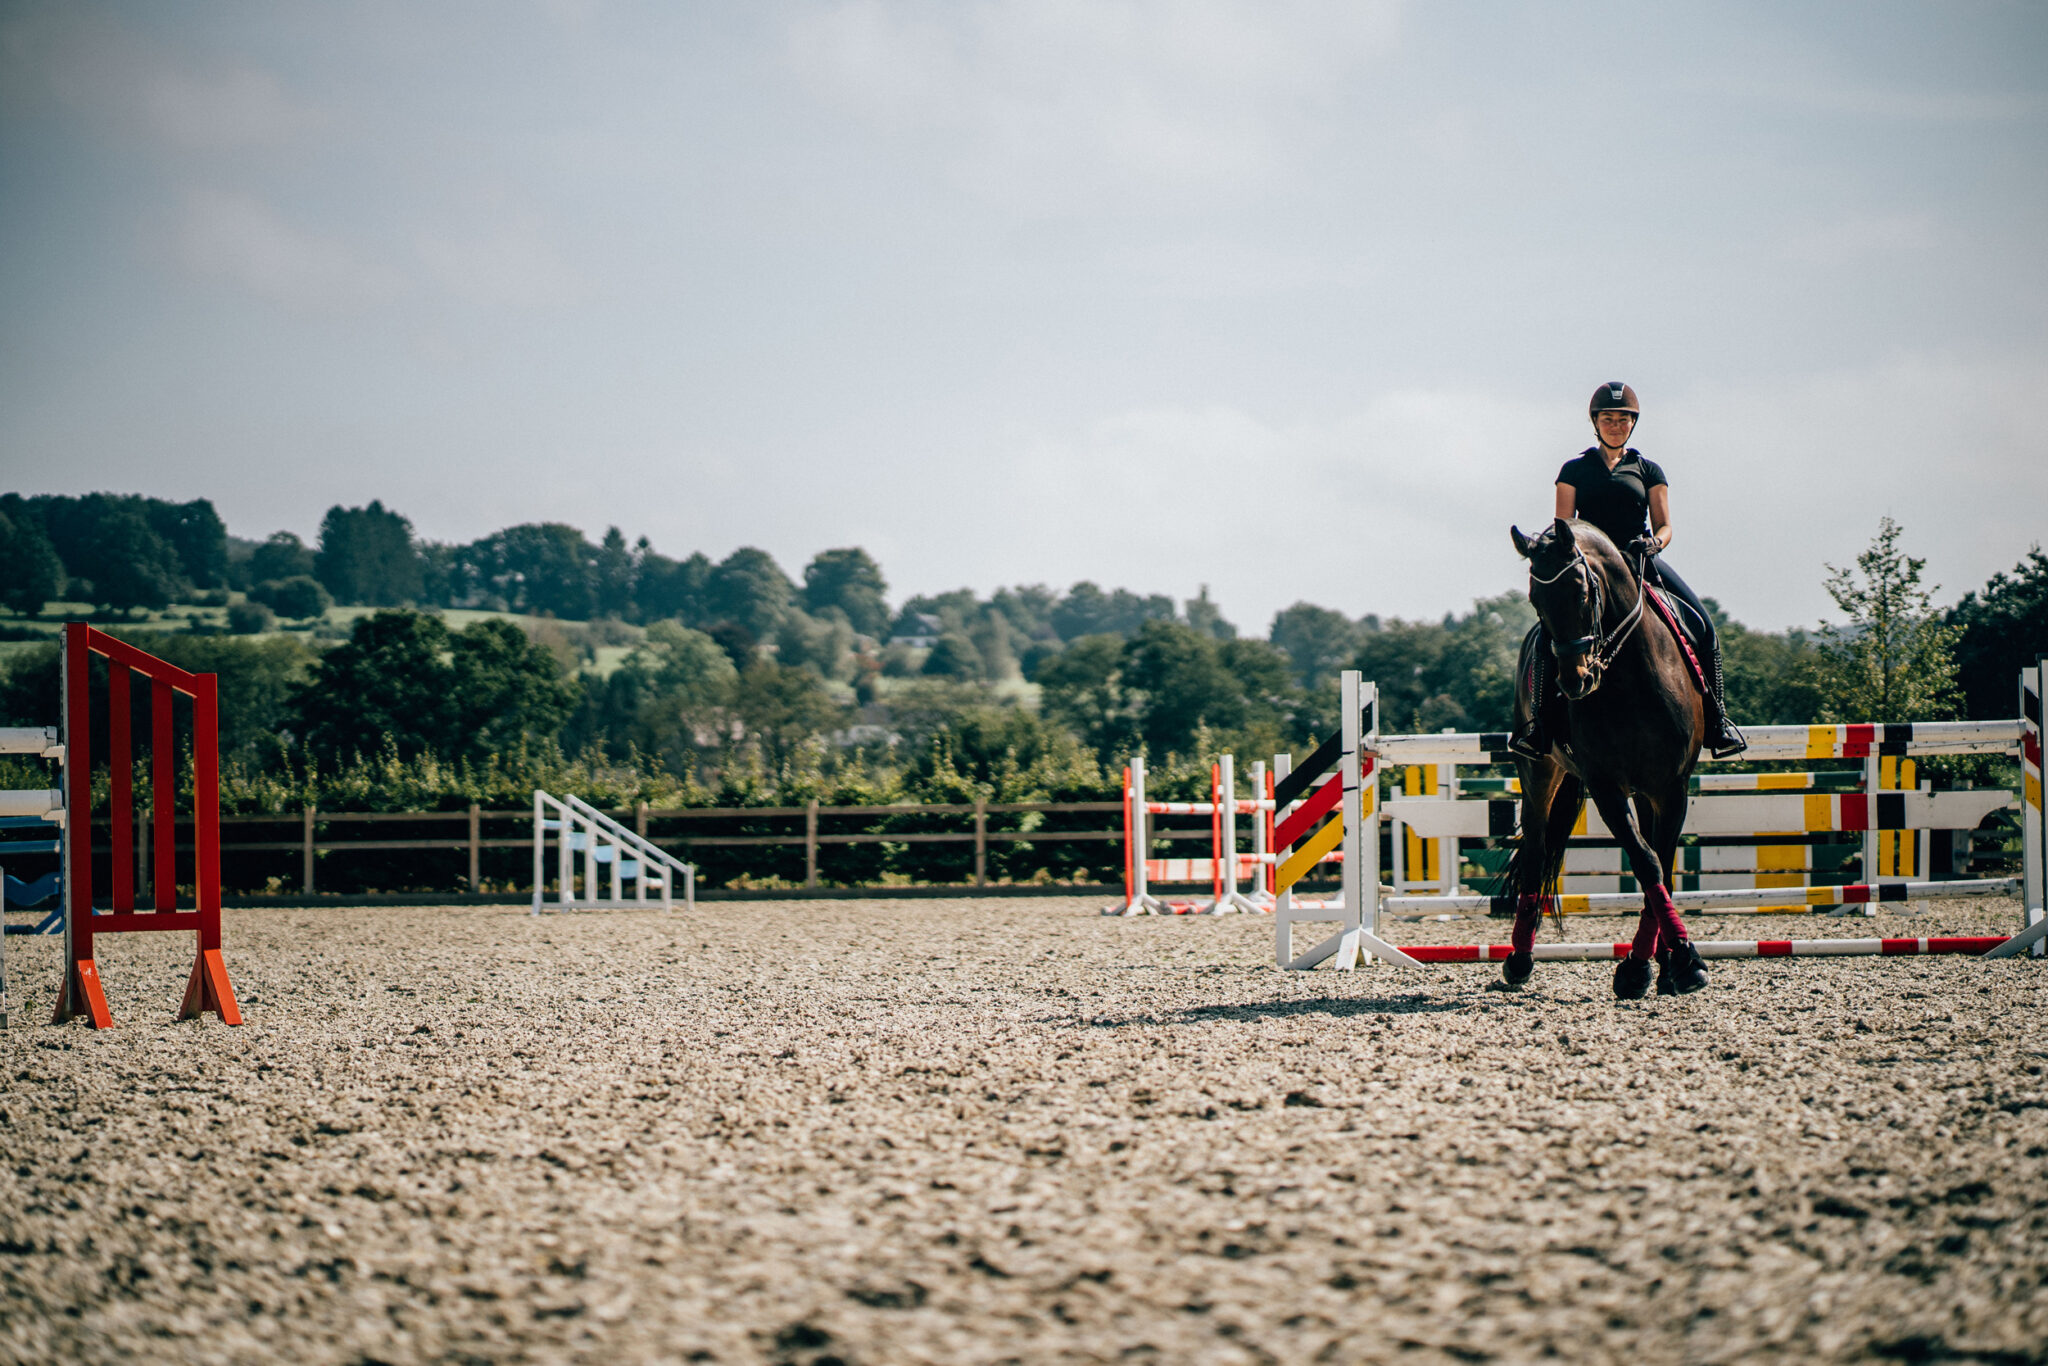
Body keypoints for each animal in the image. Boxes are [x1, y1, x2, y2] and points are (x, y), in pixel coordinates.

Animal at [1507, 518, 1712, 999]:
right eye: (1535, 599)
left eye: (1582, 591)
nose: (1573, 681)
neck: (1628, 677)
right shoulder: (1605, 786)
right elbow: (1645, 860)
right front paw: (1651, 966)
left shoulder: (1672, 787)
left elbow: (1661, 865)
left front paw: (1671, 962)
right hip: (1539, 771)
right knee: (1535, 852)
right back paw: (1519, 960)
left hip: (1646, 790)